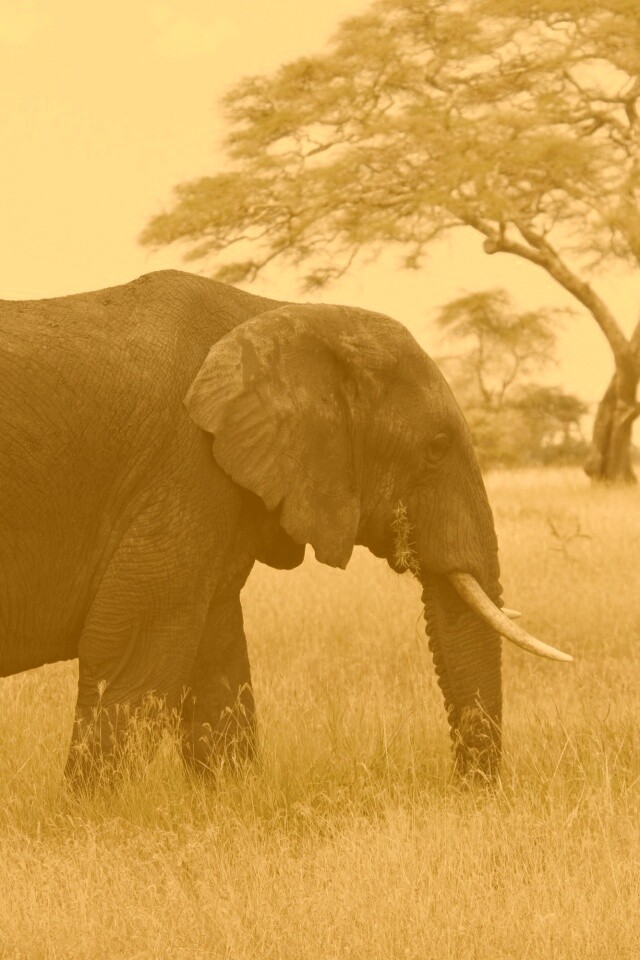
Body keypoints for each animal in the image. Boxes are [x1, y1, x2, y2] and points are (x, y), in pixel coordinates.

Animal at [0, 269, 571, 782]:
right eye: (435, 448)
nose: (466, 791)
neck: (281, 315)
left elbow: (217, 659)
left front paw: (230, 798)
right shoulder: (184, 470)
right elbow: (132, 647)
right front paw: (92, 811)